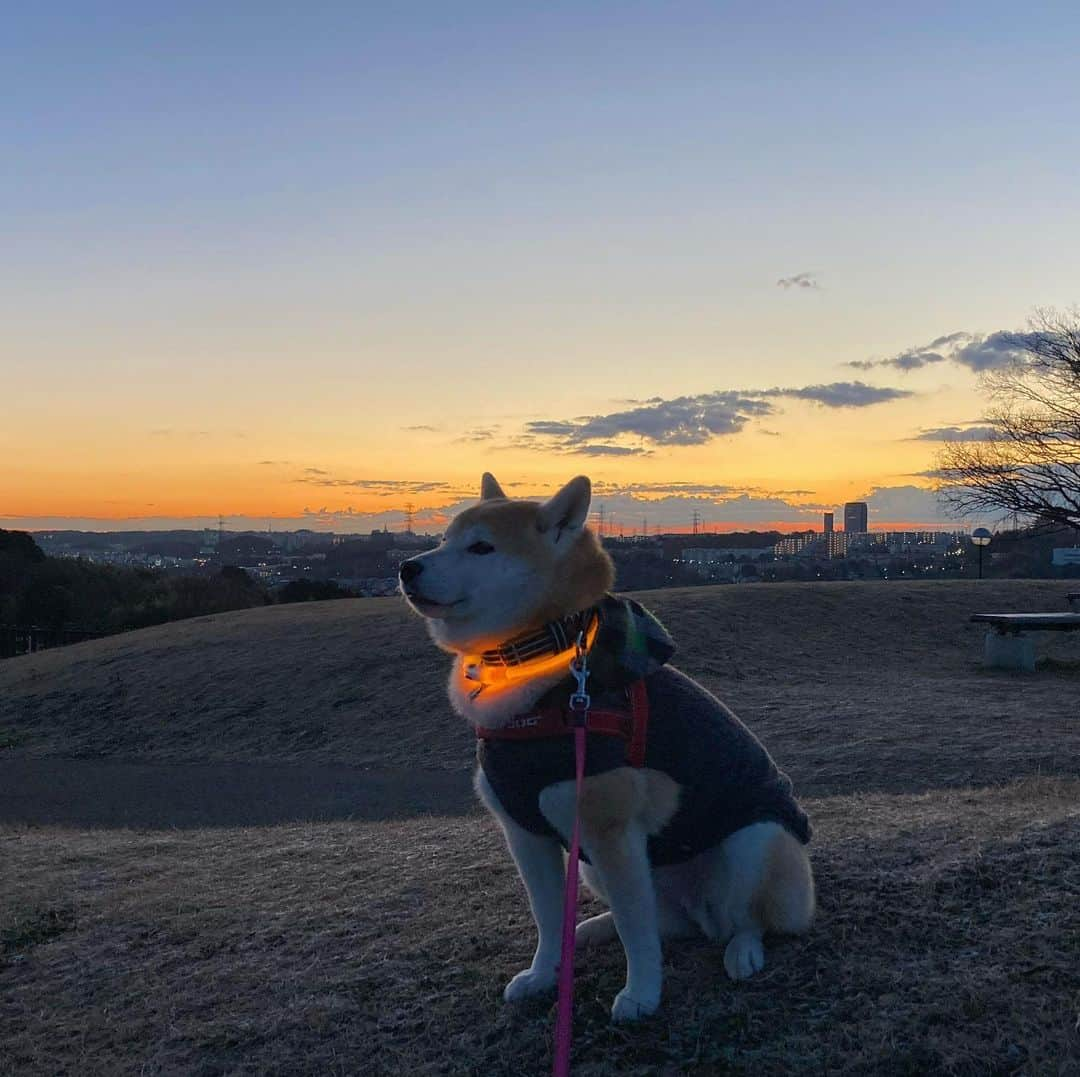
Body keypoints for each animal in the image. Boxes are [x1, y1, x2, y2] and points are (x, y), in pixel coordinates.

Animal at [401, 475, 812, 1019]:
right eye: (444, 539)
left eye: (481, 547)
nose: (407, 567)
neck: (537, 666)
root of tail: (704, 914)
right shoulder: (525, 834)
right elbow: (547, 918)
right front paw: (543, 974)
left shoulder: (609, 832)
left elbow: (638, 934)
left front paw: (641, 994)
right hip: (601, 869)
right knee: (667, 924)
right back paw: (596, 928)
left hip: (754, 841)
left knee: (744, 919)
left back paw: (742, 949)